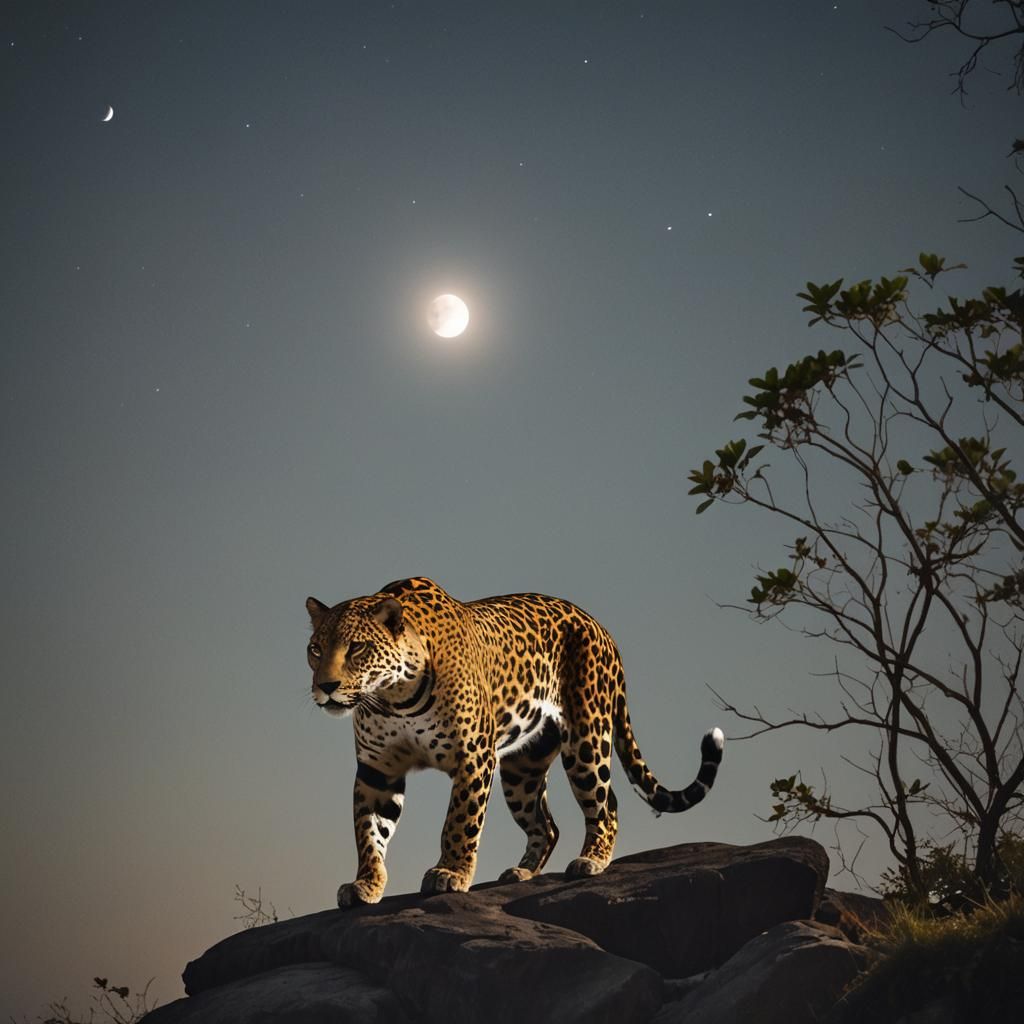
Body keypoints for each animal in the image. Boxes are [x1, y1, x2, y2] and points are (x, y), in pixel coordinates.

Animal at [306, 576, 724, 907]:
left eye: (357, 648)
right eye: (315, 649)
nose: (325, 687)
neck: (393, 697)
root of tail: (600, 627)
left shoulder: (473, 756)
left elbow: (459, 821)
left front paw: (450, 873)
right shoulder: (377, 770)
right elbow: (368, 831)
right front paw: (366, 883)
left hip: (587, 739)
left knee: (607, 805)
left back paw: (592, 860)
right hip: (522, 768)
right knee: (547, 825)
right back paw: (522, 873)